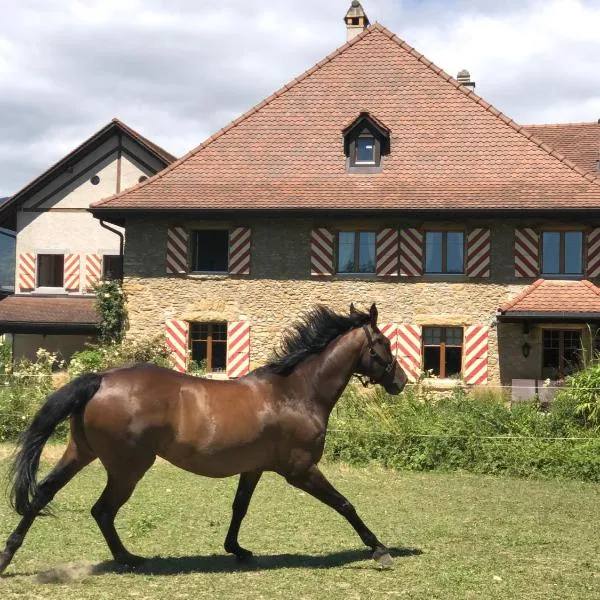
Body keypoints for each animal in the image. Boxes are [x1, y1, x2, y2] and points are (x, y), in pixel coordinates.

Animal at [0, 302, 408, 576]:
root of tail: (100, 379)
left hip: (81, 452)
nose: (401, 382)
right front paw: (380, 550)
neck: (296, 392)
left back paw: (8, 556)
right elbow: (345, 504)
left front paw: (236, 548)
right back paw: (128, 559)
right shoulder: (301, 470)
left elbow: (239, 507)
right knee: (102, 509)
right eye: (383, 343)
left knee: (43, 493)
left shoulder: (255, 468)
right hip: (128, 467)